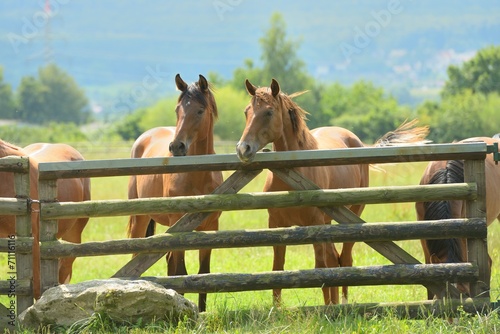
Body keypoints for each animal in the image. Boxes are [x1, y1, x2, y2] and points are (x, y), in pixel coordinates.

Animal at [126, 73, 222, 314]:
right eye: (178, 109)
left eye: (200, 110)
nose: (176, 146)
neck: (198, 175)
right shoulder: (179, 226)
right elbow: (180, 272)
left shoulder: (210, 227)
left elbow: (204, 274)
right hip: (140, 218)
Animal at [235, 77, 430, 306]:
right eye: (246, 111)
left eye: (268, 112)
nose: (243, 149)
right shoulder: (276, 225)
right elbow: (278, 269)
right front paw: (277, 309)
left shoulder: (316, 225)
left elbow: (320, 268)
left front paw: (327, 308)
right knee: (334, 258)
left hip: (351, 216)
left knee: (343, 258)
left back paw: (341, 303)